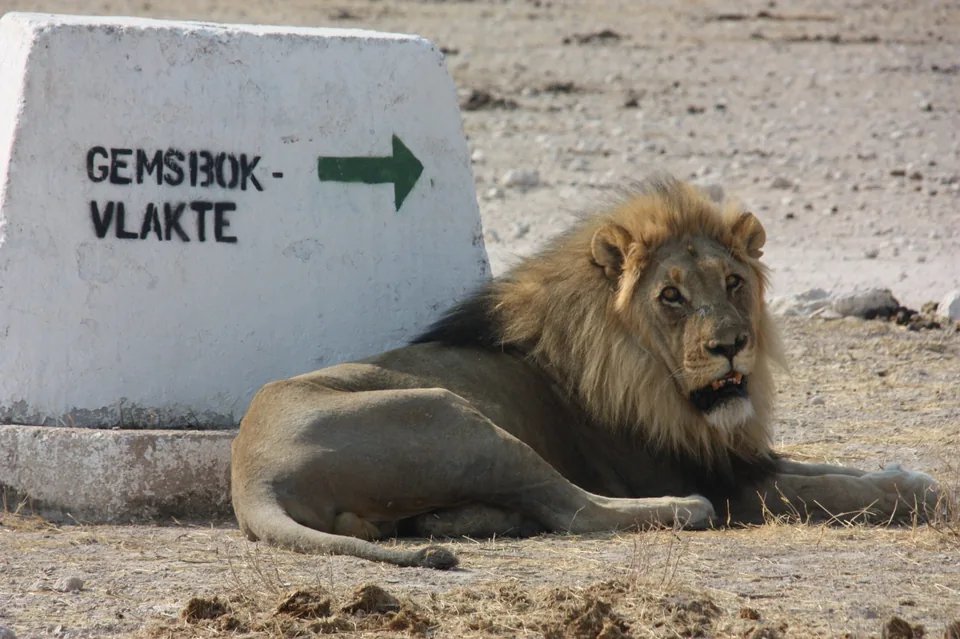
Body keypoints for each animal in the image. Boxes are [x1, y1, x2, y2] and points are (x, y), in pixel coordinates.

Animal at [230, 177, 941, 569]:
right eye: (671, 296)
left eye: (734, 283)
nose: (732, 345)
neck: (657, 382)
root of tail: (250, 472)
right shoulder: (716, 478)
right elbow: (824, 490)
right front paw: (919, 494)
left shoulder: (732, 453)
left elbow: (828, 468)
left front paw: (908, 473)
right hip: (452, 417)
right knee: (572, 507)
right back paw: (682, 511)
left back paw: (453, 522)